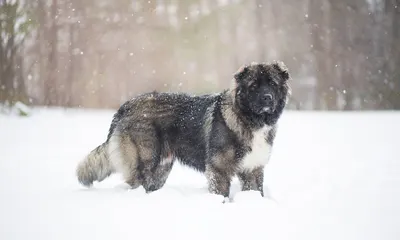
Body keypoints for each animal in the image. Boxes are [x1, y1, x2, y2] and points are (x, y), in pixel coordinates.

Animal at [76, 61, 292, 198]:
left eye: (272, 84)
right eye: (254, 86)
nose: (267, 98)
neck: (248, 119)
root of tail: (125, 107)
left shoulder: (253, 169)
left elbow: (256, 191)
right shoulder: (219, 169)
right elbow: (221, 194)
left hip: (161, 169)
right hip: (145, 162)